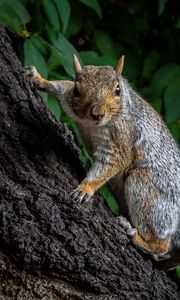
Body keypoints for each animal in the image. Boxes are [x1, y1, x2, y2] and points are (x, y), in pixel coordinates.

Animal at [26, 54, 180, 258]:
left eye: (117, 90)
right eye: (77, 90)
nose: (97, 113)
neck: (92, 125)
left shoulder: (121, 139)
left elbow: (111, 163)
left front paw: (85, 189)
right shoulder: (69, 100)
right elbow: (63, 86)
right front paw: (39, 79)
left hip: (150, 198)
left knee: (162, 244)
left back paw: (138, 238)